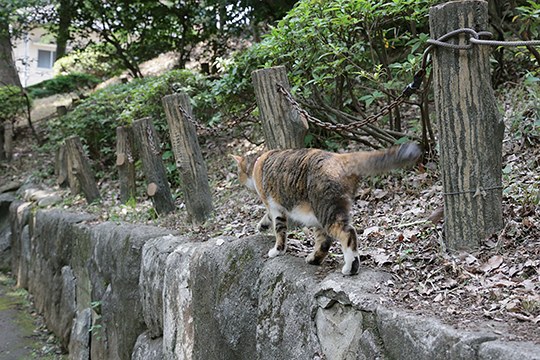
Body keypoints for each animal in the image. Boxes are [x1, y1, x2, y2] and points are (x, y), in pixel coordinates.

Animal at [232, 143, 422, 276]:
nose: (240, 184)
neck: (258, 162)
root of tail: (339, 158)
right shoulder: (281, 206)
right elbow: (268, 218)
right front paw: (261, 226)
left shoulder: (274, 206)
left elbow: (279, 230)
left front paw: (277, 250)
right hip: (318, 214)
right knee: (324, 241)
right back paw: (314, 259)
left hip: (326, 209)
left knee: (347, 233)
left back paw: (350, 267)